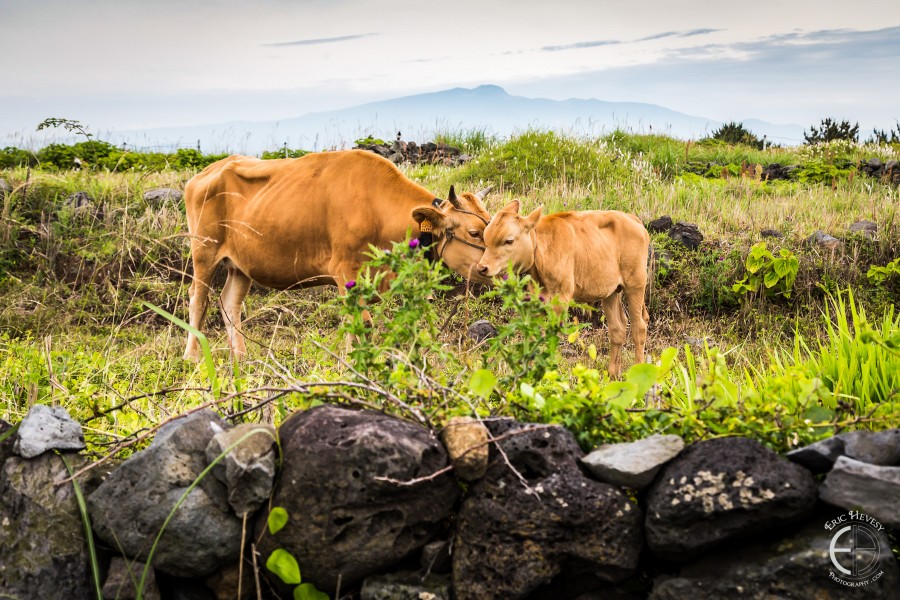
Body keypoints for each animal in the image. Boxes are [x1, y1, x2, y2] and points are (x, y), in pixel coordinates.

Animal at [184, 150, 492, 360]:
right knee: (198, 299)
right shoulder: (344, 269)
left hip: (240, 264)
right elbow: (361, 323)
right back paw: (193, 357)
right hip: (204, 250)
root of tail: (209, 170)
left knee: (229, 302)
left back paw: (241, 357)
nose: (494, 267)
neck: (376, 207)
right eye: (474, 232)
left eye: (491, 221)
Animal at [478, 202, 648, 378]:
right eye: (486, 237)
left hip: (636, 285)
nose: (482, 267)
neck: (542, 247)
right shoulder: (537, 299)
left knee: (639, 327)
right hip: (611, 292)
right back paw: (612, 374)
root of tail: (633, 219)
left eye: (509, 240)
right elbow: (534, 333)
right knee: (617, 328)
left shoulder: (561, 299)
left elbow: (552, 336)